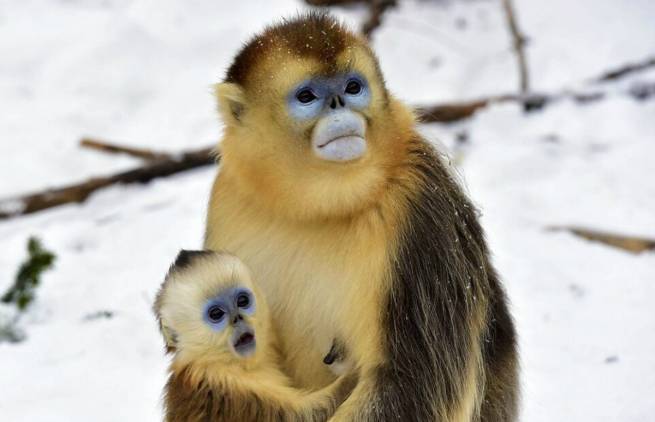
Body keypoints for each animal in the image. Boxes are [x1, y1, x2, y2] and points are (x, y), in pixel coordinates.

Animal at [154, 251, 358, 422]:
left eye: (242, 301)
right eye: (216, 314)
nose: (238, 318)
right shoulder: (223, 384)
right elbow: (304, 415)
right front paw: (354, 370)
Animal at [208, 11, 520, 420]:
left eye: (353, 87)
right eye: (307, 97)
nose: (340, 104)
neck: (318, 208)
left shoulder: (420, 211)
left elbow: (410, 379)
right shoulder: (227, 200)